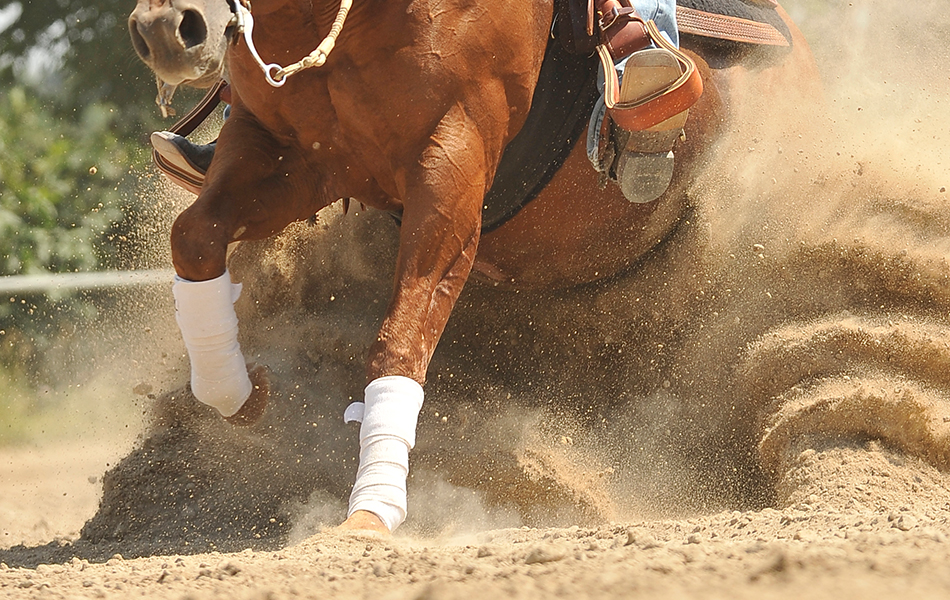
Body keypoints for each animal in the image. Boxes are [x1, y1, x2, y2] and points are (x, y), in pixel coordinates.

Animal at [126, 0, 819, 534]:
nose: (167, 28)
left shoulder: (451, 165)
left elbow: (400, 339)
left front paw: (371, 513)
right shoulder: (291, 155)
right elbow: (194, 238)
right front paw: (238, 395)